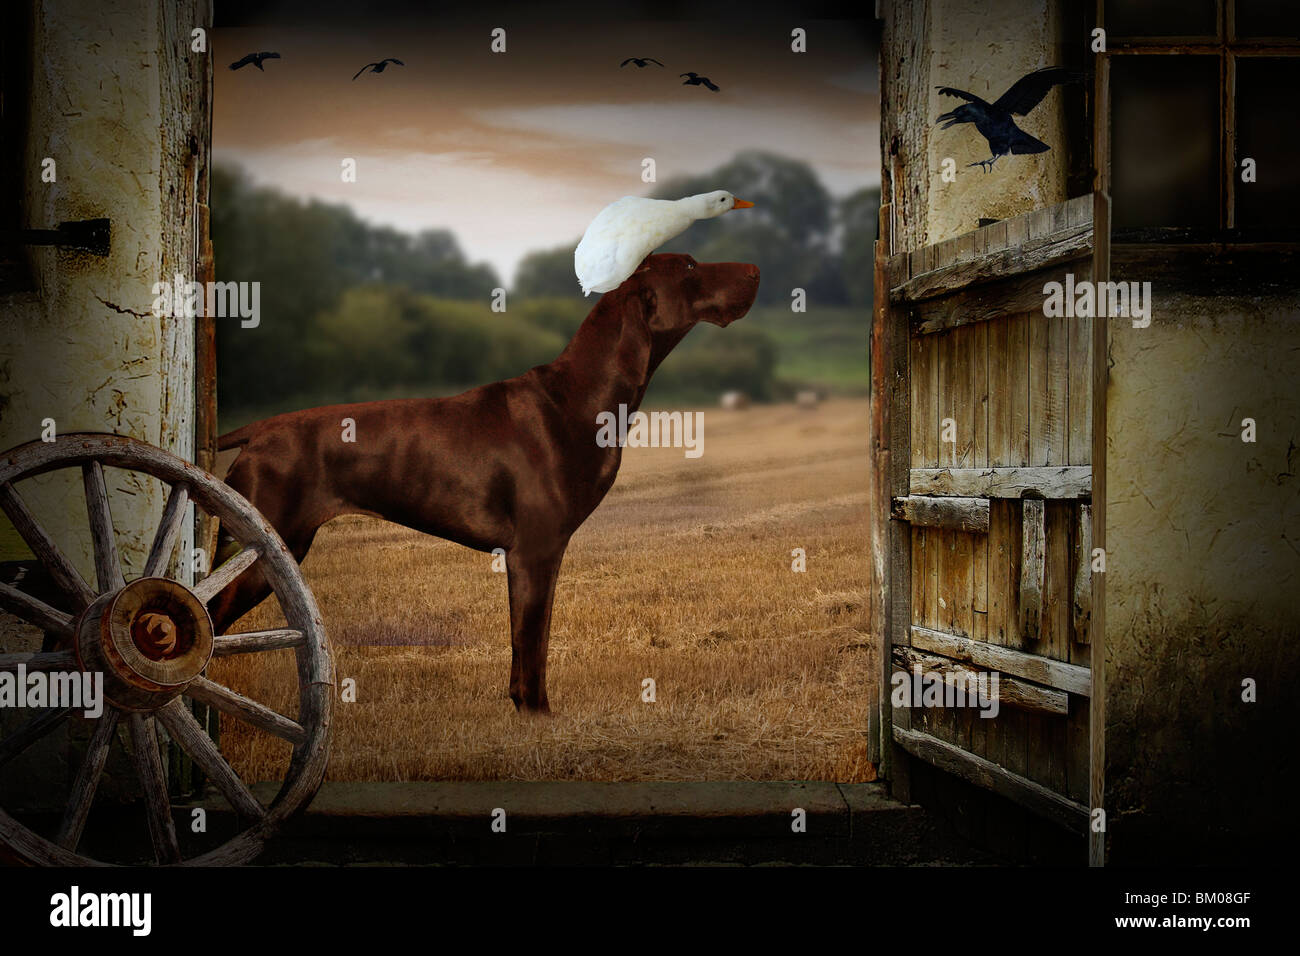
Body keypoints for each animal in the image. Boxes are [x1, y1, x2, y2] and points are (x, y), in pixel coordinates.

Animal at [213, 254, 759, 712]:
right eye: (690, 267)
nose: (755, 271)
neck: (577, 398)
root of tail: (258, 430)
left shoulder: (543, 555)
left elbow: (532, 646)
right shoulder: (534, 551)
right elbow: (531, 647)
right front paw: (536, 716)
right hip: (261, 556)